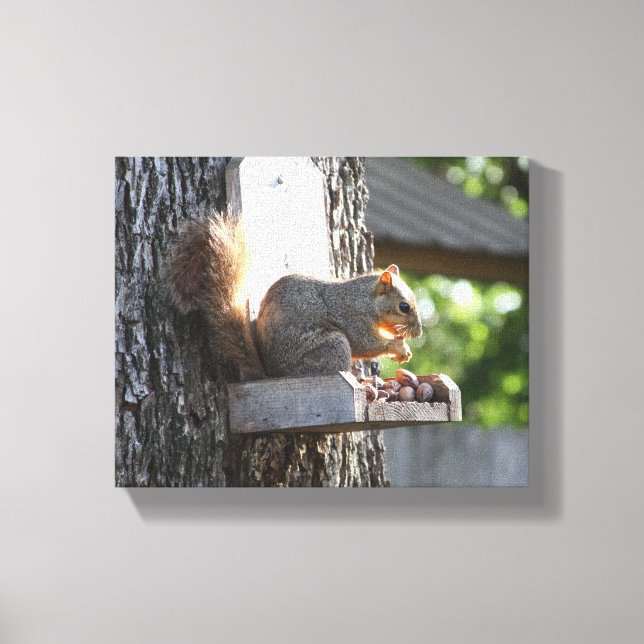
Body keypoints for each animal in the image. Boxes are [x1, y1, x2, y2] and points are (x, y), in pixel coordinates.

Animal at [167, 211, 423, 380]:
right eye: (404, 306)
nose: (418, 333)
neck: (366, 300)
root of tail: (274, 374)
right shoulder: (352, 316)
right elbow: (365, 343)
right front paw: (397, 346)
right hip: (332, 346)